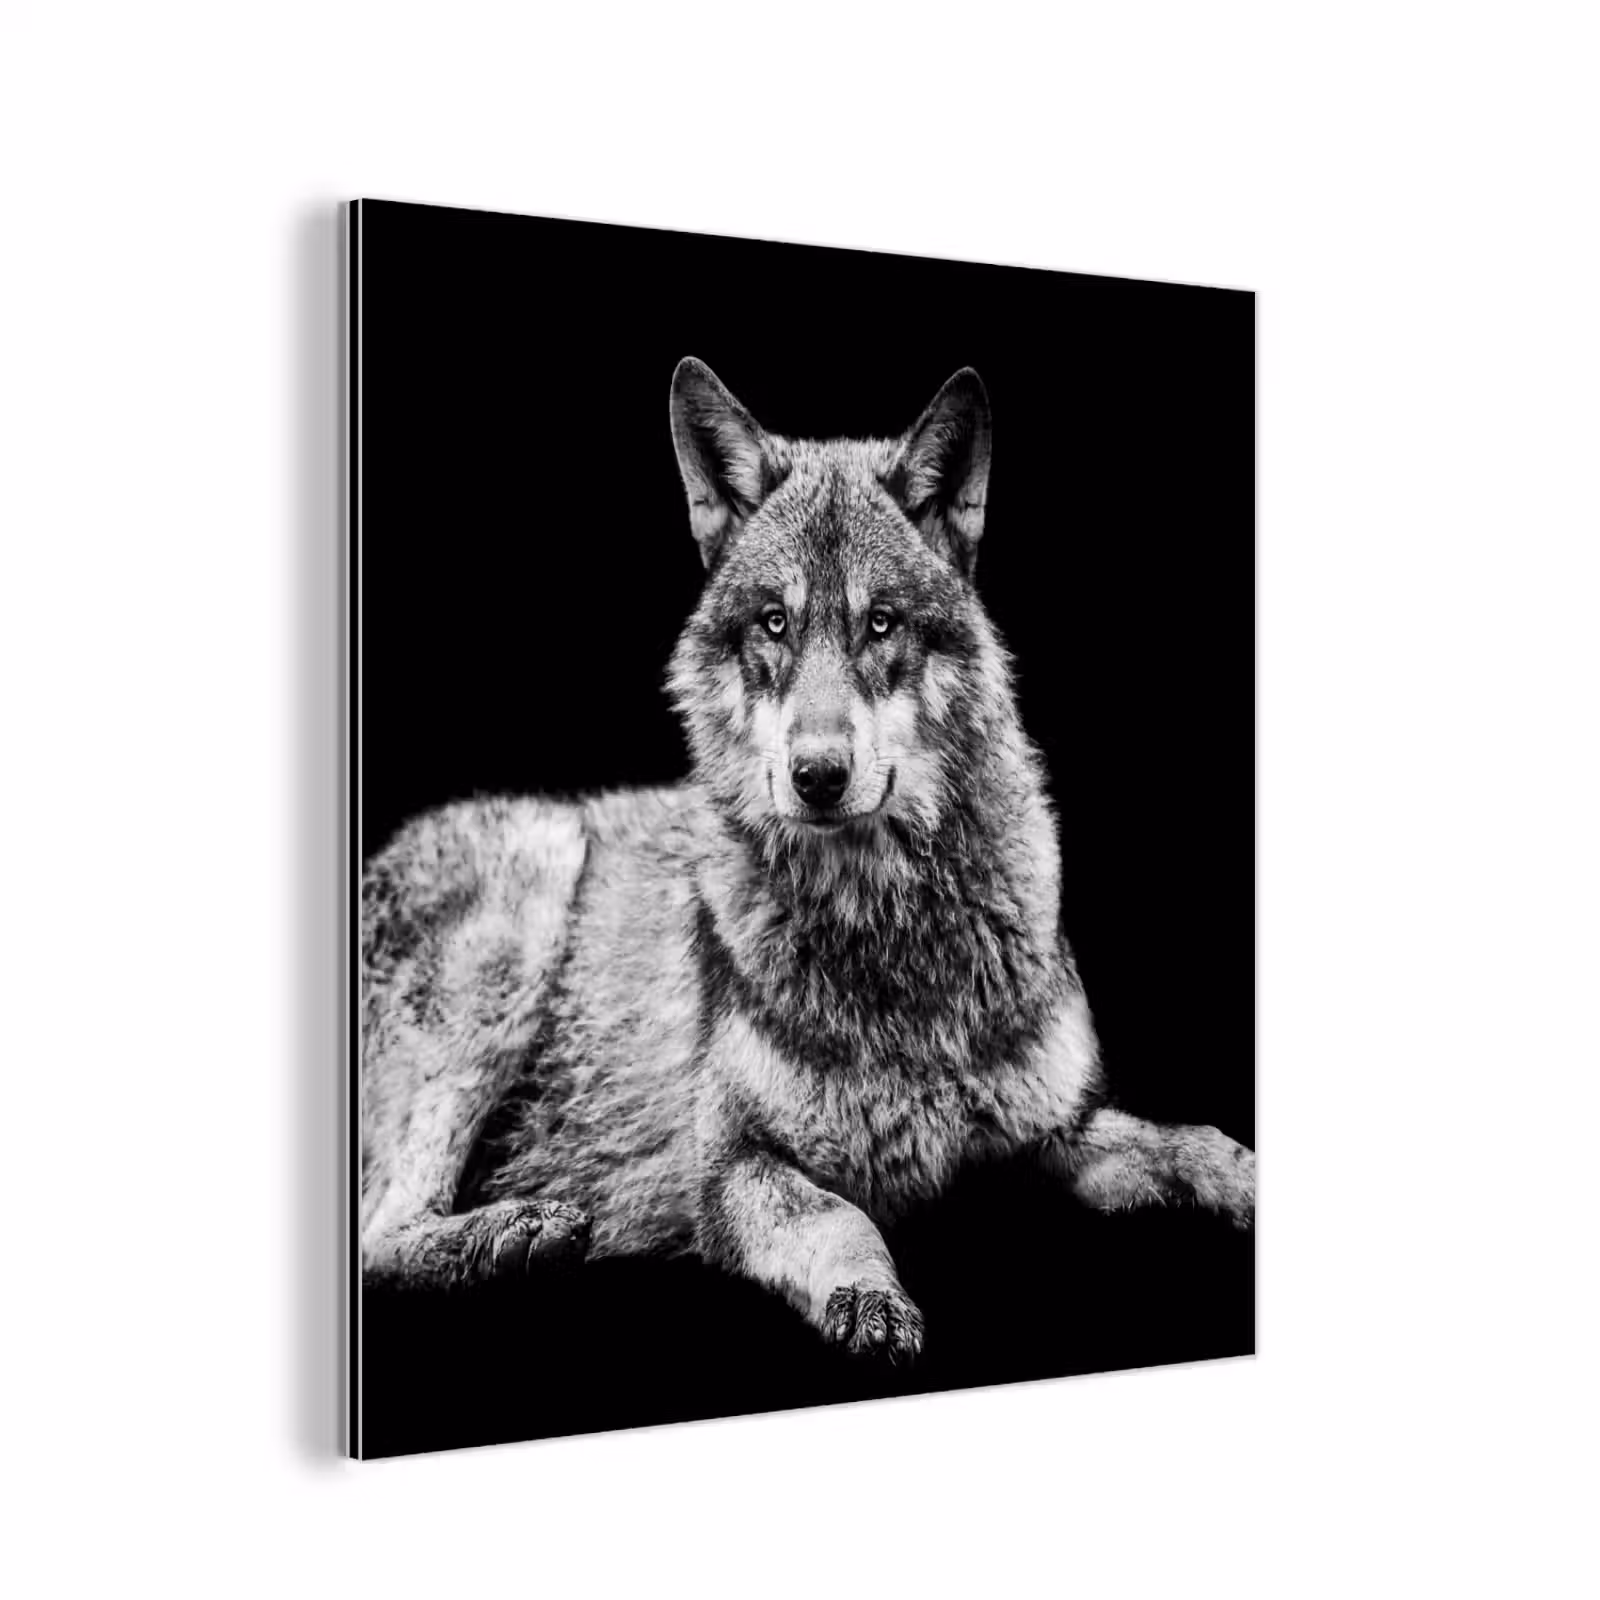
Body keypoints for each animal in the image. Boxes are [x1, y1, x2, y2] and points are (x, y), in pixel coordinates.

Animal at [359, 358, 1255, 1362]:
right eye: (776, 624)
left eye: (882, 624)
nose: (818, 776)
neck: (888, 933)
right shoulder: (733, 1167)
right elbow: (839, 1216)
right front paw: (869, 1299)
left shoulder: (1056, 1131)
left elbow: (1192, 1140)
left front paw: (1252, 1181)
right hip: (530, 888)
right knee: (375, 1237)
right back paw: (520, 1232)